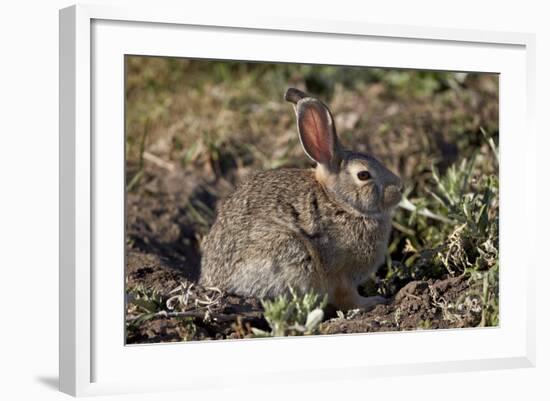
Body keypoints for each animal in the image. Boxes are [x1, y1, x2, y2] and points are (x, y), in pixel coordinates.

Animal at [201, 87, 404, 310]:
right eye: (364, 175)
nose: (400, 188)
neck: (339, 202)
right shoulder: (340, 273)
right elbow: (348, 297)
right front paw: (373, 301)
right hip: (291, 253)